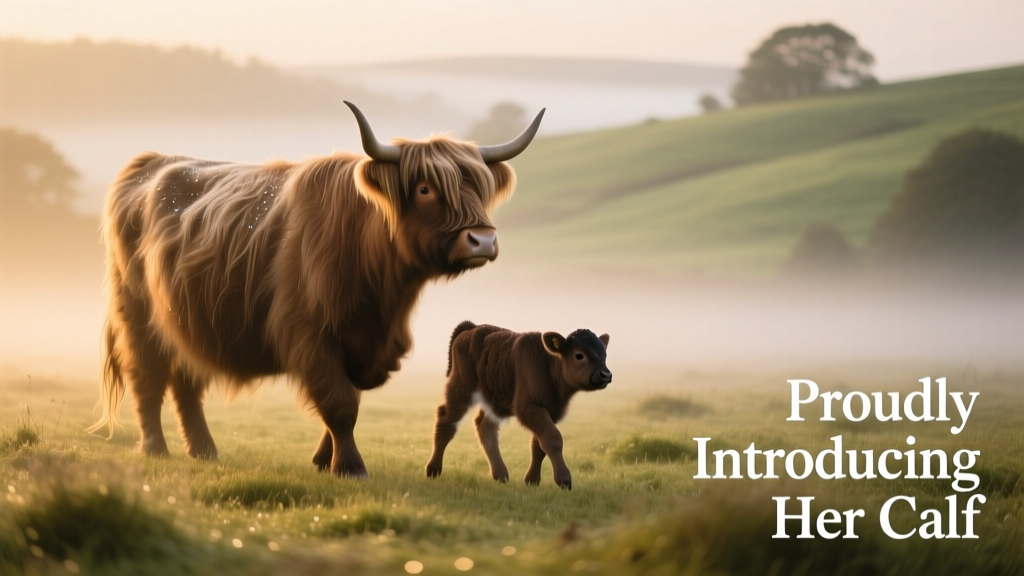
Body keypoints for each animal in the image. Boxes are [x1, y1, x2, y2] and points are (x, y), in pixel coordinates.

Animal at [86, 102, 544, 479]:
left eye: (480, 188)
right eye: (425, 189)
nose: (483, 240)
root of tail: (152, 161)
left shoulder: (362, 341)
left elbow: (345, 400)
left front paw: (324, 460)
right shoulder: (310, 333)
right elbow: (340, 404)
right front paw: (351, 467)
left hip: (186, 320)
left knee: (186, 382)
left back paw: (203, 451)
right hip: (138, 316)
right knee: (147, 377)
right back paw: (155, 448)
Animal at [425, 321, 612, 489]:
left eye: (604, 355)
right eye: (579, 355)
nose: (606, 374)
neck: (548, 364)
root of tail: (471, 328)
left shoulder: (550, 411)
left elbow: (539, 444)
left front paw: (532, 480)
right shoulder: (529, 408)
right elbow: (553, 439)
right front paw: (564, 480)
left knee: (485, 426)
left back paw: (501, 475)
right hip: (461, 389)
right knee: (447, 419)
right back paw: (433, 470)